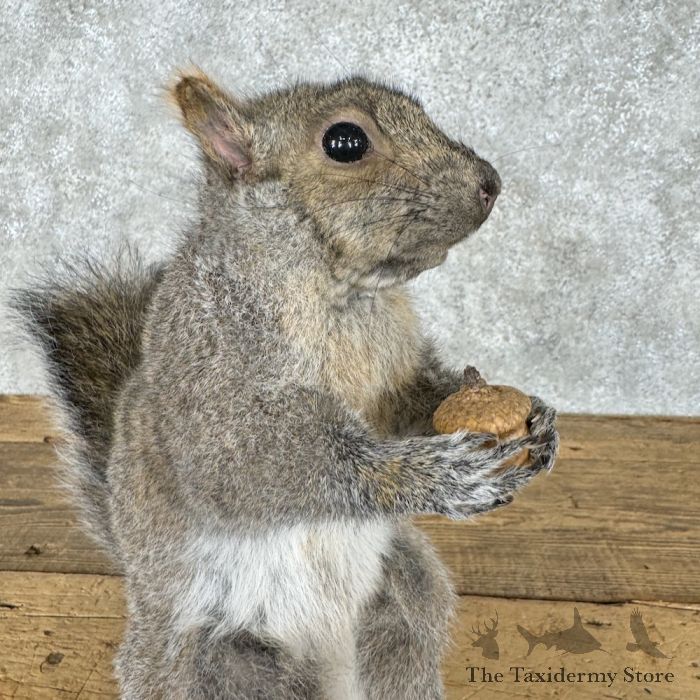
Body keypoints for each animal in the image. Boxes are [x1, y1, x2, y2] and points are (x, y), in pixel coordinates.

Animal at [13, 69, 559, 699]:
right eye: (345, 142)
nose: (490, 183)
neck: (345, 295)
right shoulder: (207, 372)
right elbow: (257, 464)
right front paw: (436, 475)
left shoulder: (395, 374)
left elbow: (414, 402)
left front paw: (533, 421)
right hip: (221, 662)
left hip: (403, 598)